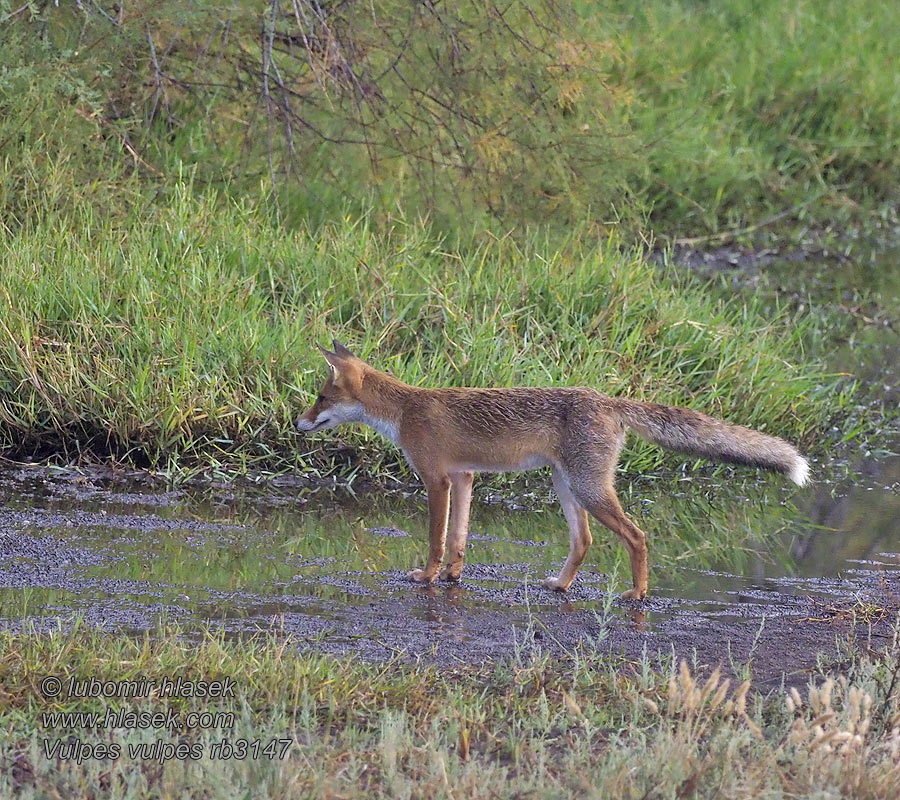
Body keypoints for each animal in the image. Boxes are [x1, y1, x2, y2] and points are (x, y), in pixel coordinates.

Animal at [296, 340, 808, 600]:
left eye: (320, 398)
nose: (297, 423)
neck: (405, 410)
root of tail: (609, 400)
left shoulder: (437, 479)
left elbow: (437, 539)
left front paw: (428, 576)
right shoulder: (464, 477)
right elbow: (459, 539)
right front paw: (453, 577)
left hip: (587, 487)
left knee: (638, 536)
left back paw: (638, 595)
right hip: (566, 485)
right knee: (584, 541)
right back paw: (561, 585)